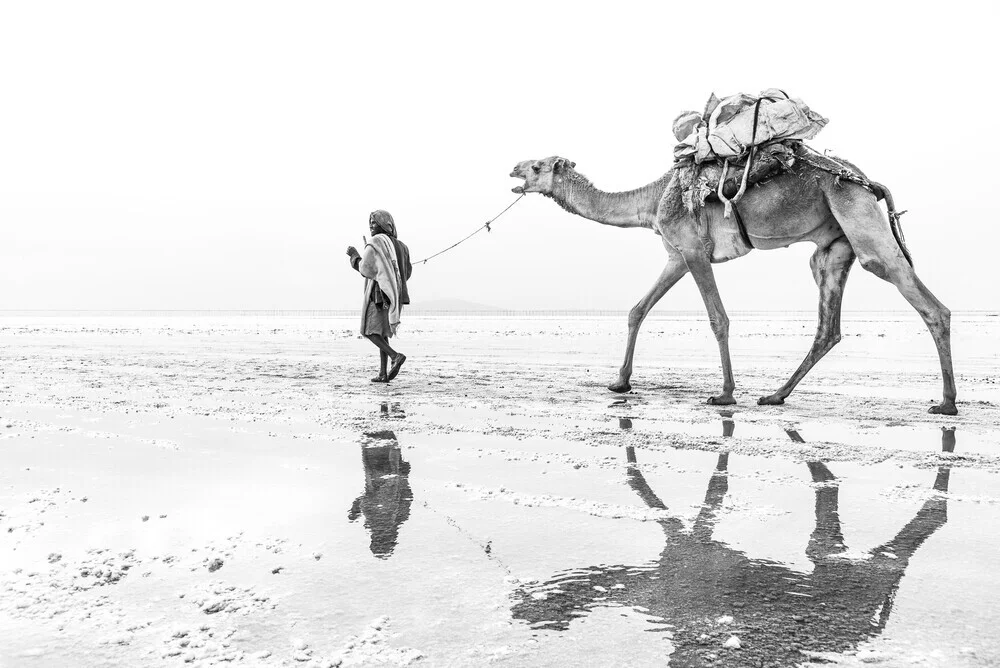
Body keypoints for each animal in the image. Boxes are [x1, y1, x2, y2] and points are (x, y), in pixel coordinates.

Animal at [512, 155, 956, 412]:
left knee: (923, 299)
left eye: (536, 166)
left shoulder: (694, 249)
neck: (652, 200)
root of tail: (870, 183)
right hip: (834, 246)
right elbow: (637, 309)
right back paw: (775, 395)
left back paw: (947, 404)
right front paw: (620, 382)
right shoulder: (676, 256)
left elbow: (718, 319)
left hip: (855, 213)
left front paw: (724, 393)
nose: (512, 170)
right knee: (828, 326)